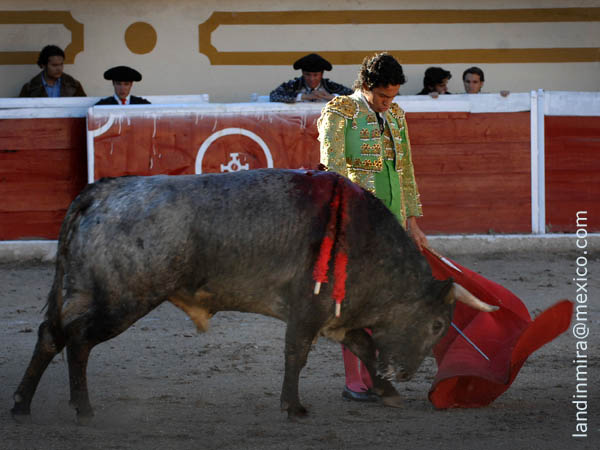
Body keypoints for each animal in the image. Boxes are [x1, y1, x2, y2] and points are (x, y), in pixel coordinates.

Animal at [11, 168, 494, 422]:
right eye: (437, 324)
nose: (408, 372)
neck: (365, 241)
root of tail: (102, 190)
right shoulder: (309, 309)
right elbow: (297, 354)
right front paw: (293, 407)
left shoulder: (337, 316)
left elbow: (364, 347)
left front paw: (386, 390)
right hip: (122, 300)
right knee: (78, 341)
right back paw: (82, 406)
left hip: (80, 288)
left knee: (50, 335)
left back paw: (21, 404)